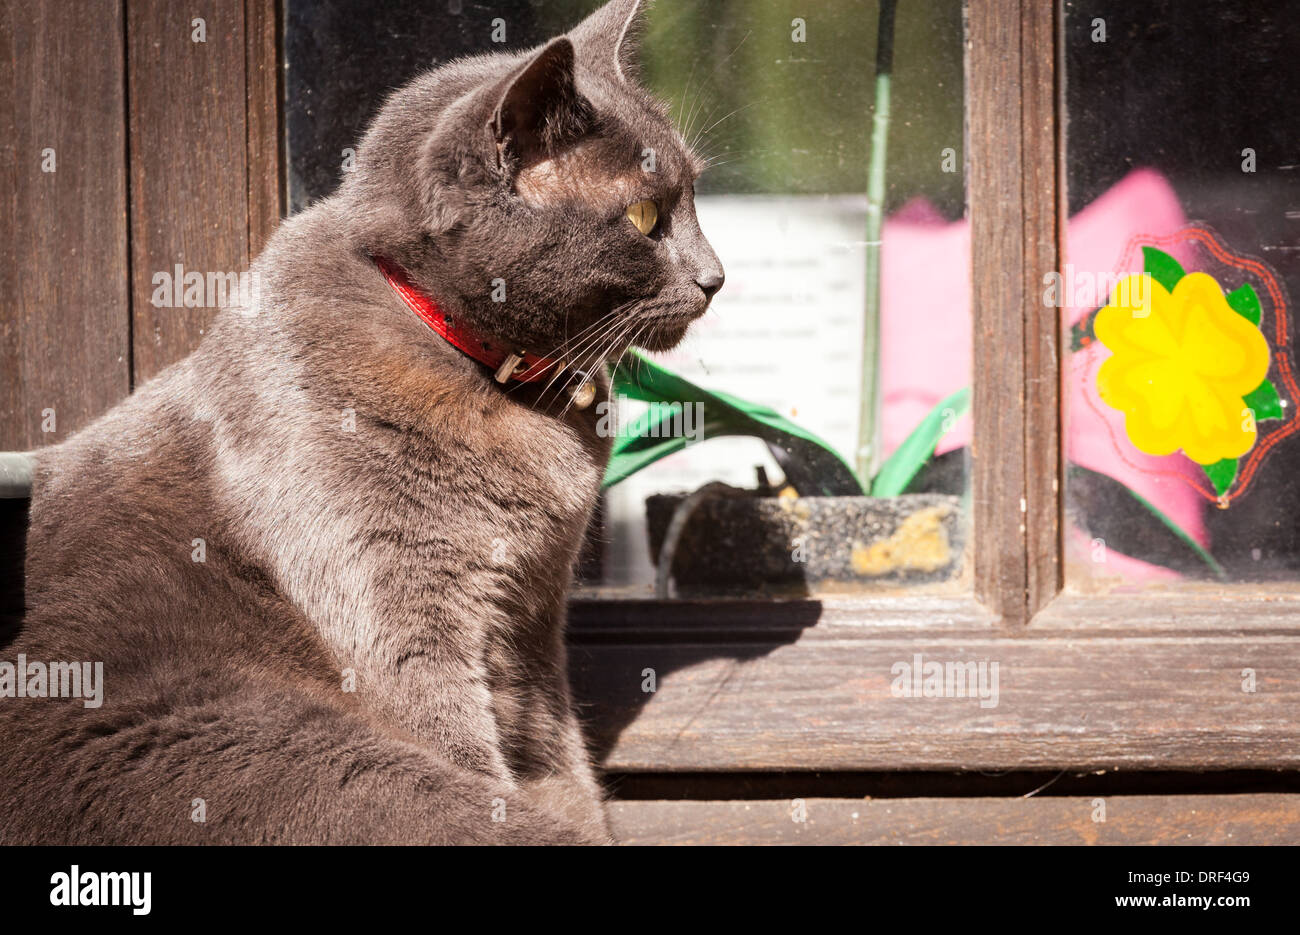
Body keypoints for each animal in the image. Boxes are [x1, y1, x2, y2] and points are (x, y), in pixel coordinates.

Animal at [2, 0, 722, 842]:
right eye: (645, 216)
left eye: (694, 199)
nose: (717, 276)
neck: (498, 376)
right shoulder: (394, 598)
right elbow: (460, 736)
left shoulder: (533, 623)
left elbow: (558, 753)